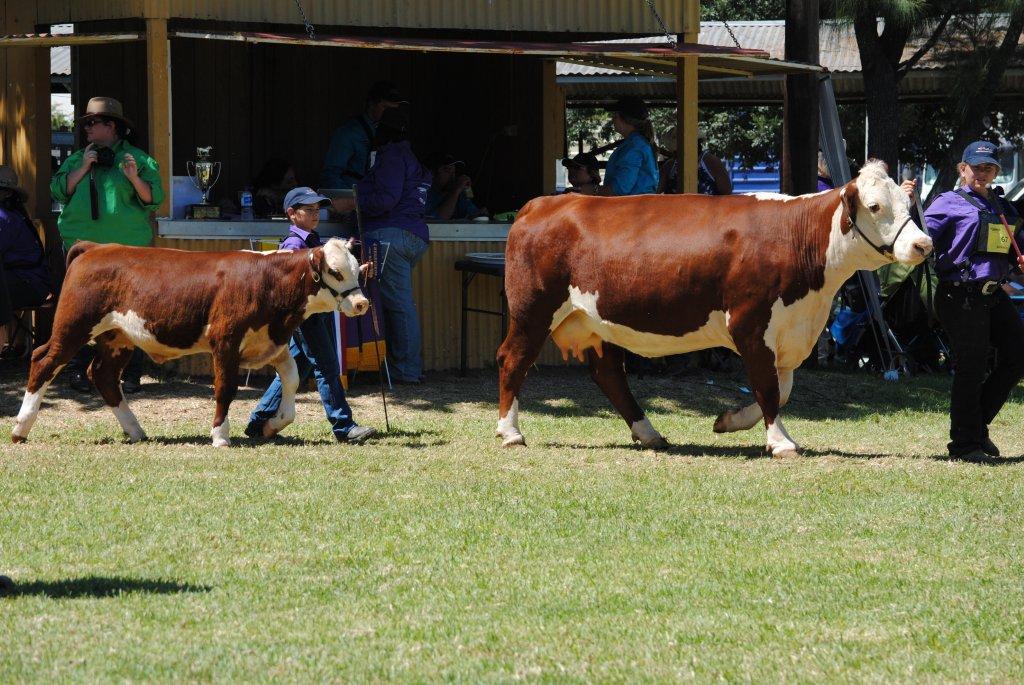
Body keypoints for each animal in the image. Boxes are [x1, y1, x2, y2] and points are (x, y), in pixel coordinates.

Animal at [12, 238, 369, 447]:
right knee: (43, 361)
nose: (362, 303)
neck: (266, 280)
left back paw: (136, 431)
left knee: (103, 374)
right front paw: (220, 435)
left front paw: (273, 425)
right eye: (335, 271)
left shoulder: (273, 343)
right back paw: (20, 428)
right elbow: (225, 388)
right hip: (73, 326)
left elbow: (291, 380)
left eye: (357, 269)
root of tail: (96, 247)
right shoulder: (225, 340)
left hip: (118, 337)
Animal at [496, 161, 934, 457]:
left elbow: (782, 388)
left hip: (593, 322)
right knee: (513, 359)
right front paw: (781, 442)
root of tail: (542, 204)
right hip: (533, 310)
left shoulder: (788, 329)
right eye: (874, 206)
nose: (923, 244)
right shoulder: (750, 322)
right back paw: (510, 432)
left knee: (608, 375)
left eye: (907, 200)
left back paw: (650, 434)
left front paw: (729, 420)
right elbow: (768, 386)